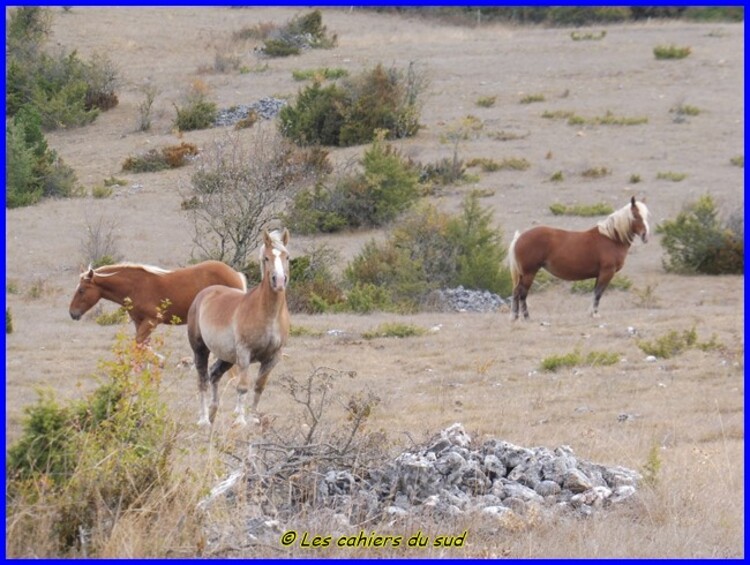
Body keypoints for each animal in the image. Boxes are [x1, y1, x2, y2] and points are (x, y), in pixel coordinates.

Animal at [68, 260, 247, 344]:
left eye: (81, 290)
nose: (72, 313)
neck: (135, 286)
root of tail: (236, 275)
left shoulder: (152, 321)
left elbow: (139, 342)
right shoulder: (139, 322)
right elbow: (143, 344)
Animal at [188, 227, 294, 426]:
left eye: (287, 257)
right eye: (266, 258)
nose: (279, 281)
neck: (268, 315)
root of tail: (203, 294)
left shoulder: (272, 358)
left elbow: (259, 386)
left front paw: (253, 418)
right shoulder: (245, 354)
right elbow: (243, 386)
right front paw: (240, 421)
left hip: (227, 357)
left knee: (214, 374)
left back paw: (213, 414)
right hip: (200, 350)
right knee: (202, 380)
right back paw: (204, 419)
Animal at [512, 197, 652, 322]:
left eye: (646, 216)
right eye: (635, 216)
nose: (645, 236)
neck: (611, 239)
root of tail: (520, 238)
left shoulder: (599, 274)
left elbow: (595, 292)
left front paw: (591, 313)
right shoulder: (607, 272)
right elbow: (598, 293)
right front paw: (595, 314)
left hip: (523, 274)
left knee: (516, 291)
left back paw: (515, 317)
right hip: (529, 273)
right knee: (522, 293)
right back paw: (526, 317)